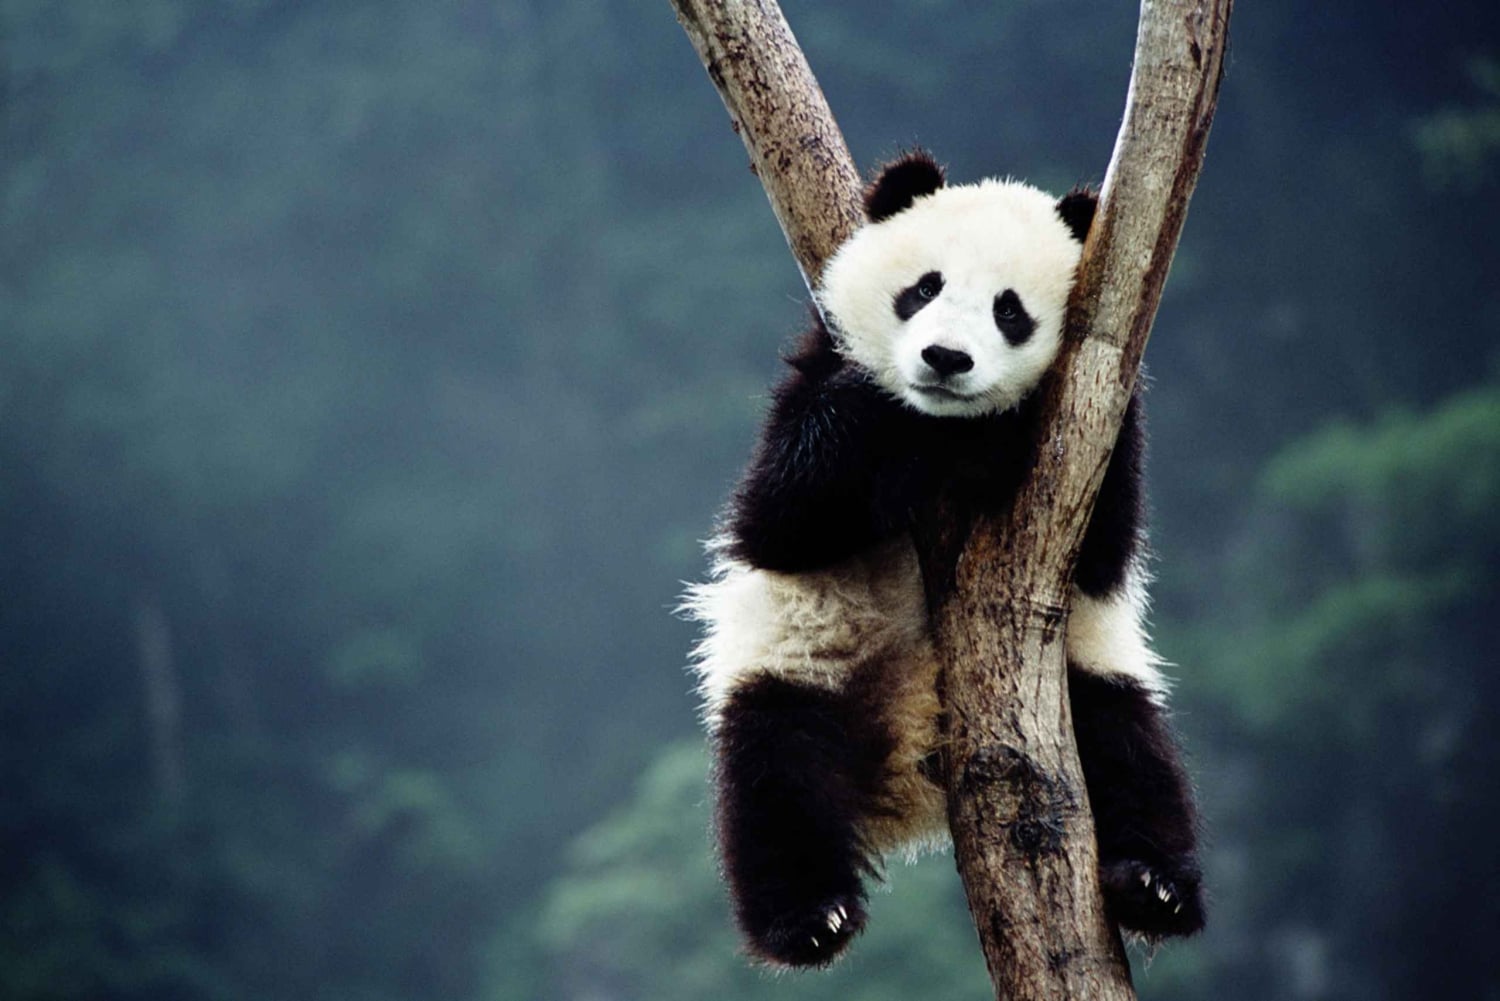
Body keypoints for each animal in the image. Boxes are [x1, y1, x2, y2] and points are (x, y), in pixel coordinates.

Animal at [683, 150, 1203, 969]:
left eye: (1009, 311)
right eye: (923, 288)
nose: (944, 359)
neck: (942, 428)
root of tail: (909, 778)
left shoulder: (1098, 422)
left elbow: (1103, 550)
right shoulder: (814, 374)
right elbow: (779, 515)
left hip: (1083, 682)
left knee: (1133, 752)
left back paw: (1154, 885)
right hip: (799, 667)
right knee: (774, 781)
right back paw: (810, 918)